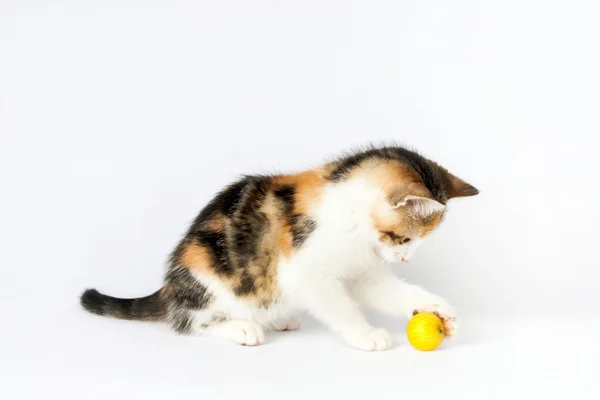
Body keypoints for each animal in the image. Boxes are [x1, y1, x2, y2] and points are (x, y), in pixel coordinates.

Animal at [83, 145, 478, 352]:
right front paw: (366, 334)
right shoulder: (305, 270)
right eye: (405, 239)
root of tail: (170, 286)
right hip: (207, 272)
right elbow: (338, 304)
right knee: (188, 321)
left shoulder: (362, 270)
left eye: (415, 243)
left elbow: (387, 291)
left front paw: (439, 309)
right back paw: (241, 328)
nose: (406, 258)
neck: (354, 221)